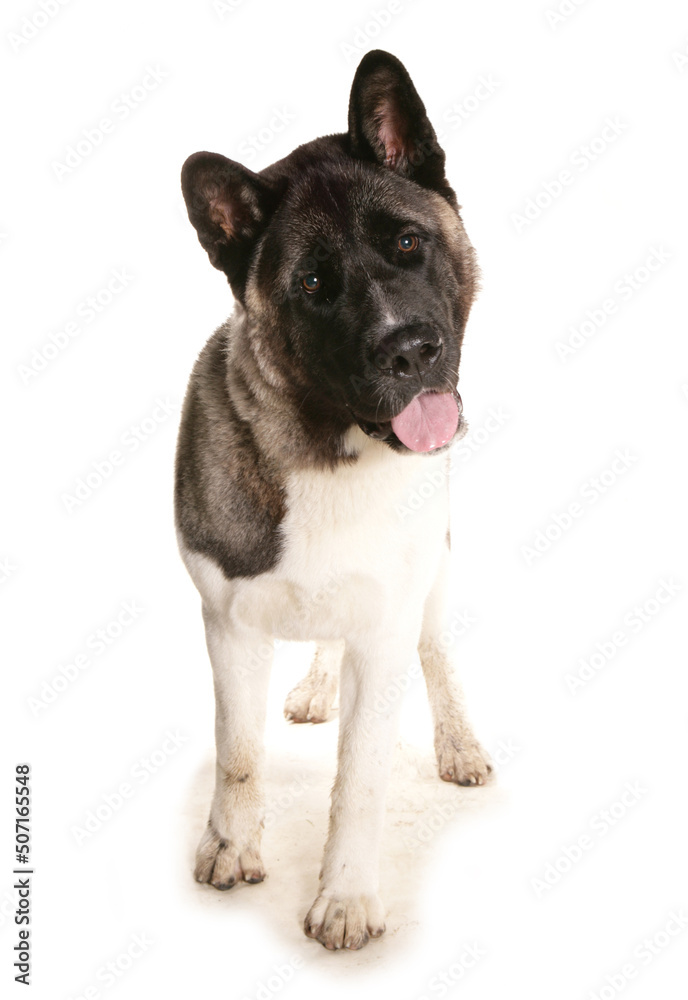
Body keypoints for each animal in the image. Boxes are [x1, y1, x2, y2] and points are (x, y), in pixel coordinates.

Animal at [176, 48, 490, 952]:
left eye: (409, 243)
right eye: (315, 283)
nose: (410, 350)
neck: (328, 448)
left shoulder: (385, 632)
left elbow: (360, 778)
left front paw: (346, 895)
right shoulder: (228, 627)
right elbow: (238, 754)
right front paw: (231, 843)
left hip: (432, 579)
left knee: (436, 652)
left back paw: (458, 742)